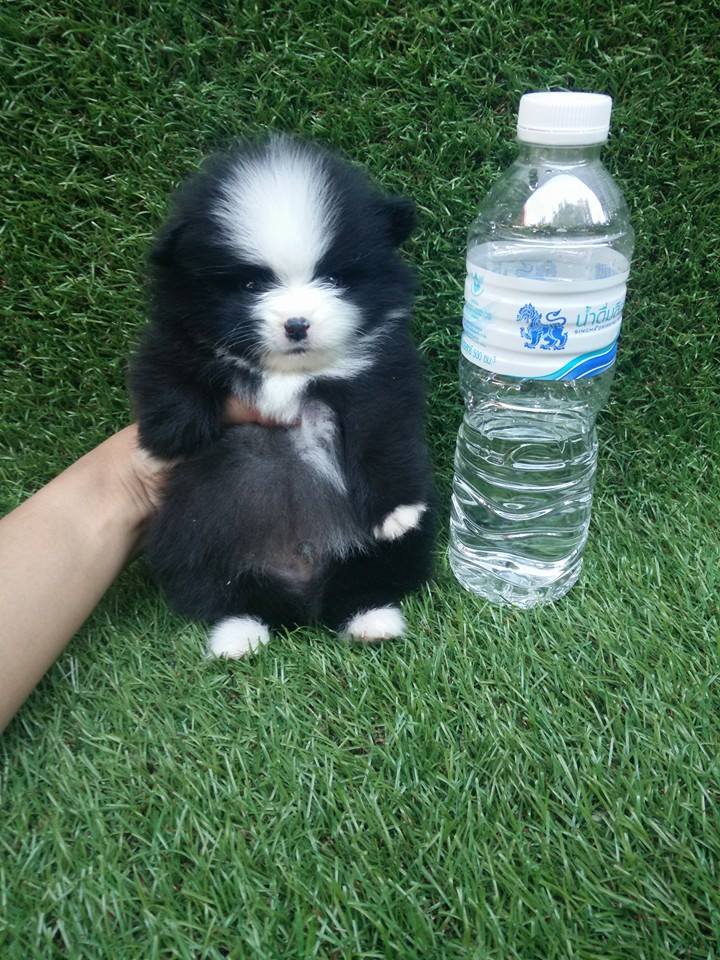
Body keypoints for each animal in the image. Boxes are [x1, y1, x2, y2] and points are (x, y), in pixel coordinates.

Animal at [131, 135, 435, 658]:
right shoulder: (177, 332)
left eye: (333, 278)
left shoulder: (378, 373)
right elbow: (167, 366)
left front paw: (396, 510)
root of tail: (302, 585)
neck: (292, 373)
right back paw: (238, 634)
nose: (297, 324)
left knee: (370, 576)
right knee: (220, 591)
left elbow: (382, 436)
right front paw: (169, 435)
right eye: (251, 283)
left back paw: (371, 619)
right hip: (191, 542)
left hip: (381, 555)